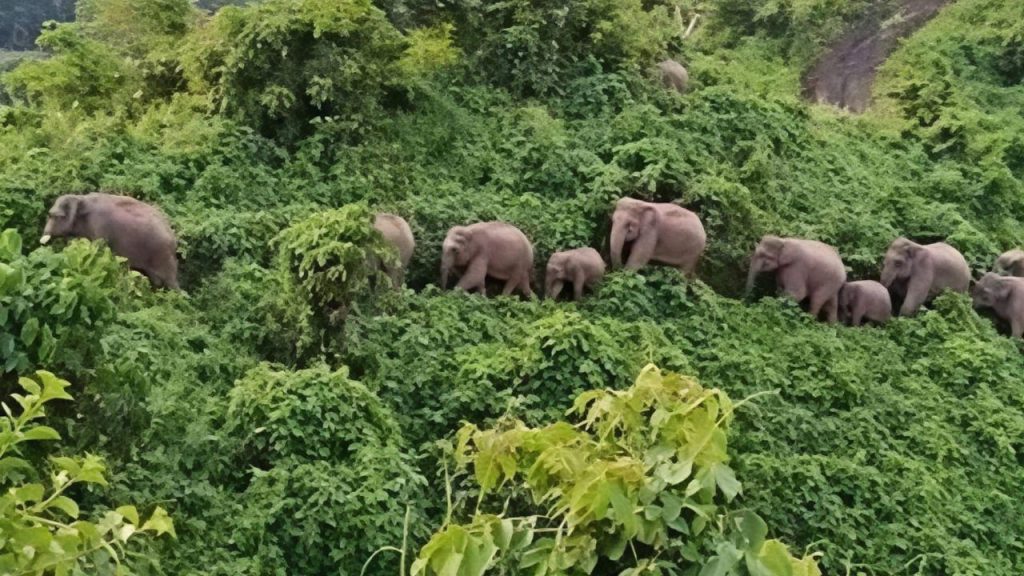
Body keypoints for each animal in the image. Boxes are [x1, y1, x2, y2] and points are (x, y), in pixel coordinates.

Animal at [41, 193, 179, 289]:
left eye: (56, 217)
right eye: (49, 215)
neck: (81, 198)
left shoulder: (99, 226)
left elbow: (97, 250)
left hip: (162, 255)